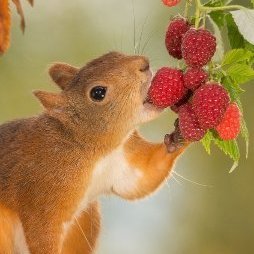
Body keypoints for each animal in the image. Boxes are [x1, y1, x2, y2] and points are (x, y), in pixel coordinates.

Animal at [0, 51, 189, 252]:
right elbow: (42, 235)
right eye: (98, 93)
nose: (143, 64)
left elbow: (144, 177)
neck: (94, 152)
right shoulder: (41, 194)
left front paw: (180, 135)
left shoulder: (122, 161)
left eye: (112, 54)